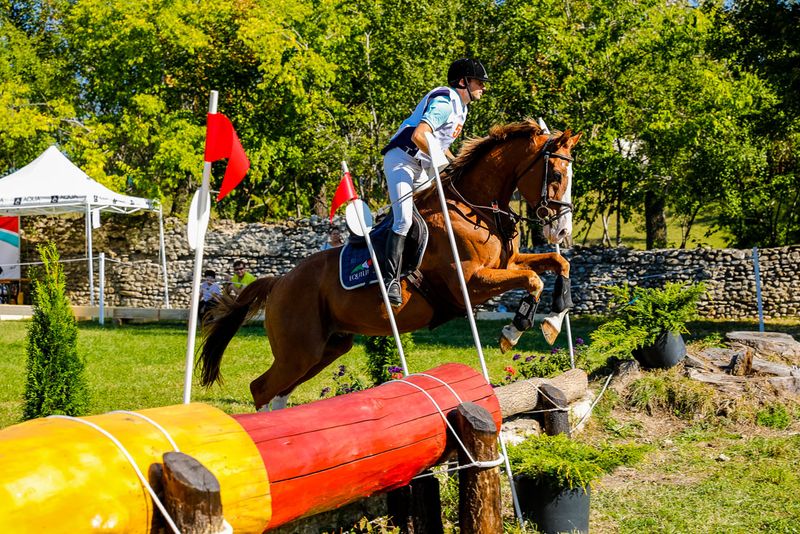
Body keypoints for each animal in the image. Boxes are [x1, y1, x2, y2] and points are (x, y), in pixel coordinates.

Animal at [199, 120, 581, 410]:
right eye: (555, 176)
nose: (562, 230)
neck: (474, 210)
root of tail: (279, 282)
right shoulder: (469, 283)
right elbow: (532, 279)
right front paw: (514, 331)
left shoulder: (508, 262)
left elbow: (556, 263)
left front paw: (553, 319)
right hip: (300, 349)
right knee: (262, 388)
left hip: (326, 347)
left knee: (279, 391)